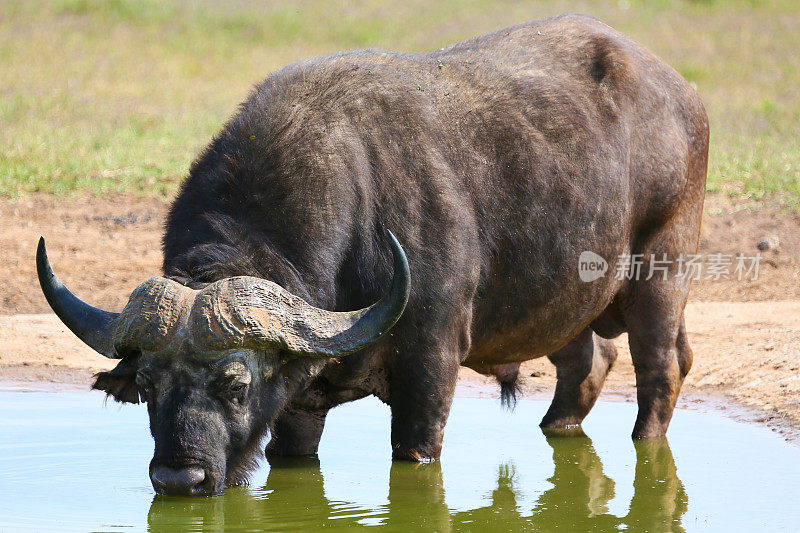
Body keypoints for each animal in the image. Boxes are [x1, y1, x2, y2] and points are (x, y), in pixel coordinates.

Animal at [40, 13, 708, 494]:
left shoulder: (429, 375)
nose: (180, 477)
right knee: (589, 363)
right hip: (564, 301)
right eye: (148, 384)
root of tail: (682, 93)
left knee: (661, 368)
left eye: (235, 382)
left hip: (663, 271)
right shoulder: (299, 409)